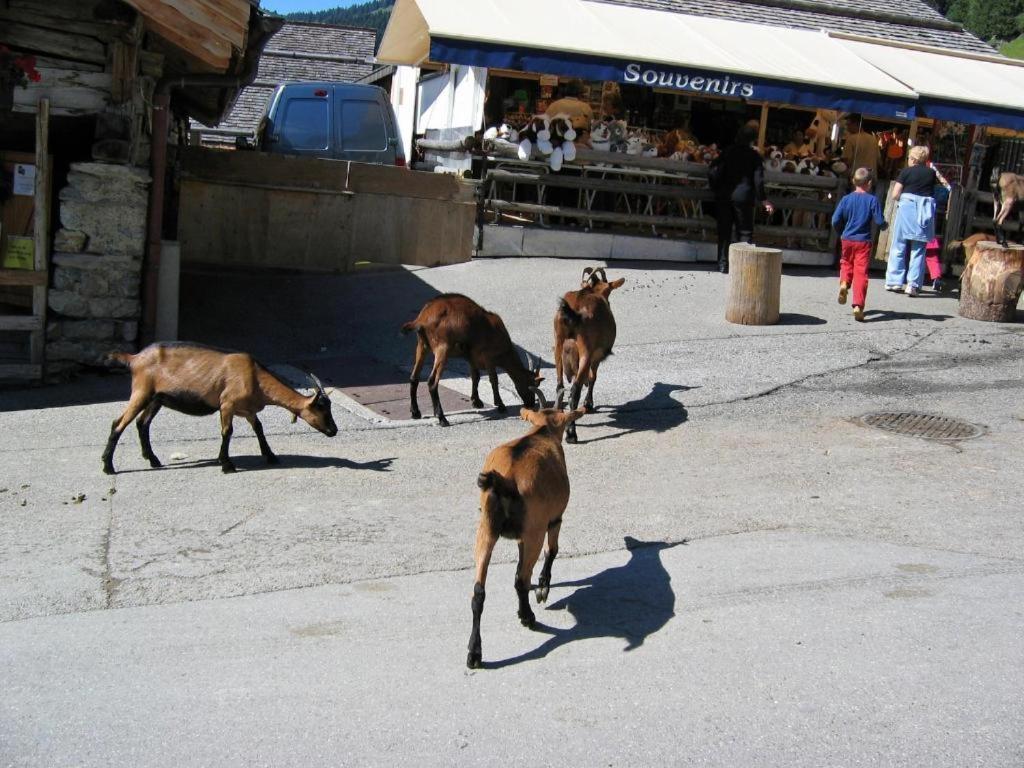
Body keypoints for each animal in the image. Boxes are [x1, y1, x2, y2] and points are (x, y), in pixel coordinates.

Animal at [102, 344, 337, 475]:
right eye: (322, 409)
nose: (334, 431)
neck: (255, 376)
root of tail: (135, 358)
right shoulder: (227, 404)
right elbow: (227, 432)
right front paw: (226, 464)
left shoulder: (247, 410)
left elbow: (259, 429)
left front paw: (270, 456)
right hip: (141, 391)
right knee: (118, 423)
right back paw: (108, 467)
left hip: (156, 398)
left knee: (142, 423)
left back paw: (153, 460)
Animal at [466, 387, 581, 671]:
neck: (541, 433)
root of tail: (505, 481)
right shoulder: (553, 519)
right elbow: (552, 551)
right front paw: (542, 588)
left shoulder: (521, 537)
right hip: (534, 531)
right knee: (520, 578)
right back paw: (528, 616)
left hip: (486, 529)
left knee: (479, 591)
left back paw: (474, 653)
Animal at [552, 266, 622, 442]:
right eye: (608, 291)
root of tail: (574, 313)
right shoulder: (596, 356)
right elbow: (593, 377)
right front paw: (589, 404)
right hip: (586, 351)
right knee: (574, 391)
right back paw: (571, 433)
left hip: (558, 342)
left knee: (560, 386)